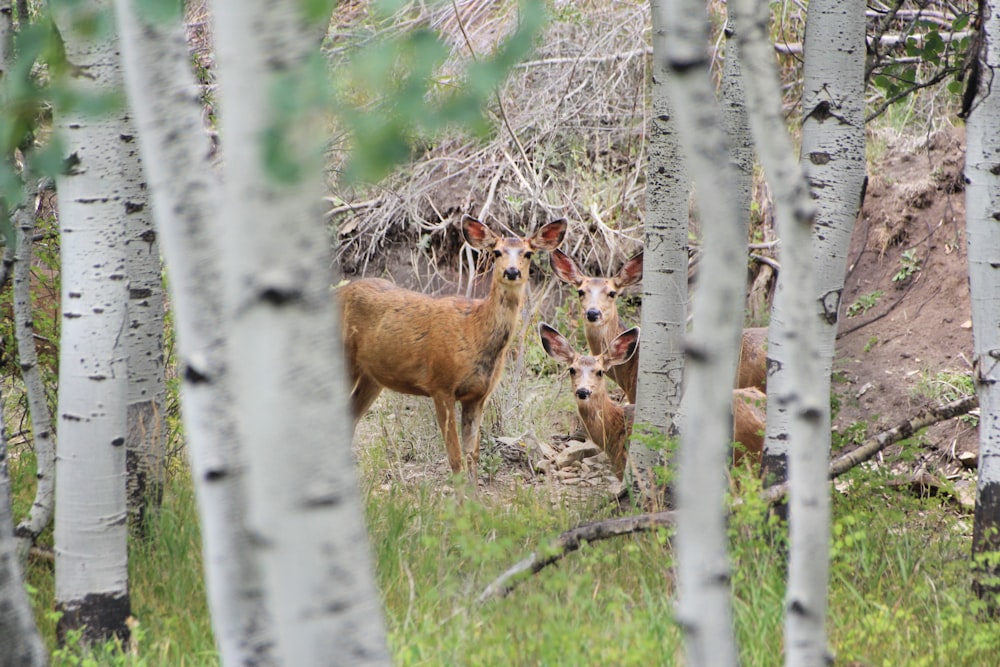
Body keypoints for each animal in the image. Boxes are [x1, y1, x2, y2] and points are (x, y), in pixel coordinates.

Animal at [338, 217, 568, 482]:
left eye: (528, 253)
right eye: (497, 252)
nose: (512, 272)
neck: (476, 332)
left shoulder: (479, 396)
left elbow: (473, 455)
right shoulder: (441, 384)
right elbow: (455, 458)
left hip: (373, 377)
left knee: (349, 417)